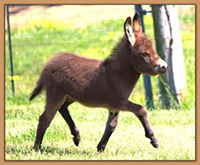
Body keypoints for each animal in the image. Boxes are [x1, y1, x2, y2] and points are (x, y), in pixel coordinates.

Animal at [29, 12, 167, 152]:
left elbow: (112, 125)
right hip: (56, 94)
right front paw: (154, 140)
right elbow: (141, 109)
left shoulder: (114, 106)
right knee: (45, 118)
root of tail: (47, 67)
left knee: (62, 109)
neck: (117, 73)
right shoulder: (118, 101)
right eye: (144, 54)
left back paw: (76, 137)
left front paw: (101, 147)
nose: (164, 66)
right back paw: (36, 148)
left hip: (69, 96)